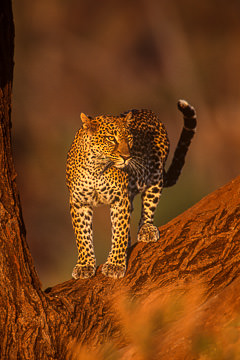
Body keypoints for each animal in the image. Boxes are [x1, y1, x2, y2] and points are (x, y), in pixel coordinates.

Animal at [66, 100, 197, 280]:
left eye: (129, 139)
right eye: (110, 139)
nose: (127, 157)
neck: (96, 168)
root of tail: (148, 111)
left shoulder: (120, 199)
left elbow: (119, 231)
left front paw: (115, 264)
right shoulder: (79, 202)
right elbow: (82, 235)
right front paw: (85, 265)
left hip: (155, 176)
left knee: (148, 207)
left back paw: (147, 229)